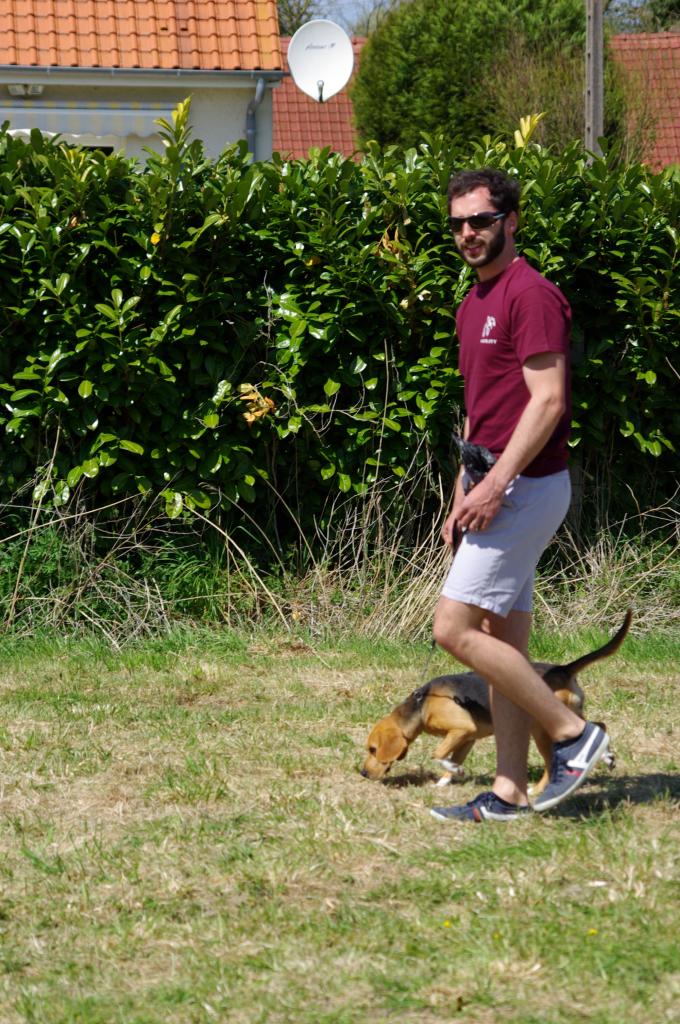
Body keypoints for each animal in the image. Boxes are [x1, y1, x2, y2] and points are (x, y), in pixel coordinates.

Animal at [361, 610, 631, 794]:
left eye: (373, 749)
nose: (362, 773)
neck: (421, 704)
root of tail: (562, 670)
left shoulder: (461, 729)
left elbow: (437, 754)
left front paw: (451, 771)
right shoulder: (467, 737)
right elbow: (452, 759)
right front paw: (444, 780)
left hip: (541, 727)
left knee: (553, 759)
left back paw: (537, 789)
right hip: (572, 711)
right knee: (598, 725)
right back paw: (606, 755)